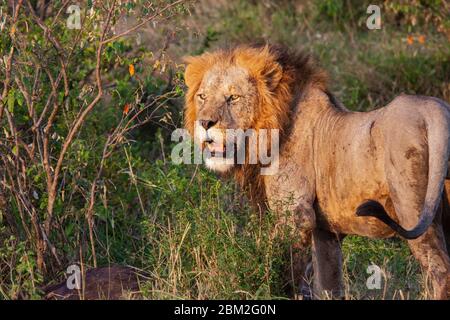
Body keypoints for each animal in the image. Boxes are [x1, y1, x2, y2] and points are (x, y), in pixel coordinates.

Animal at [182, 45, 450, 300]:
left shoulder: (297, 216)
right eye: (202, 96)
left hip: (411, 208)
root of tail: (435, 111)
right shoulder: (326, 232)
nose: (205, 122)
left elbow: (287, 274)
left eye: (233, 97)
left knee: (441, 270)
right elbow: (330, 285)